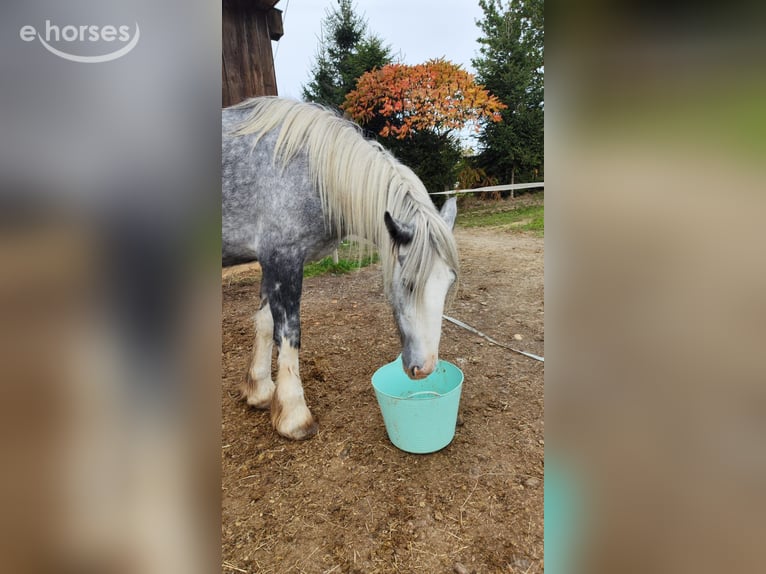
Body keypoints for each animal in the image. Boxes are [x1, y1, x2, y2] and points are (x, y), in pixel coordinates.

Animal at [222, 97, 460, 440]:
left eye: (449, 283)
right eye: (408, 282)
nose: (424, 368)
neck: (307, 172)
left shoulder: (270, 261)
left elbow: (265, 324)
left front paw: (260, 391)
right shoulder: (284, 258)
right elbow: (289, 333)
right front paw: (294, 416)